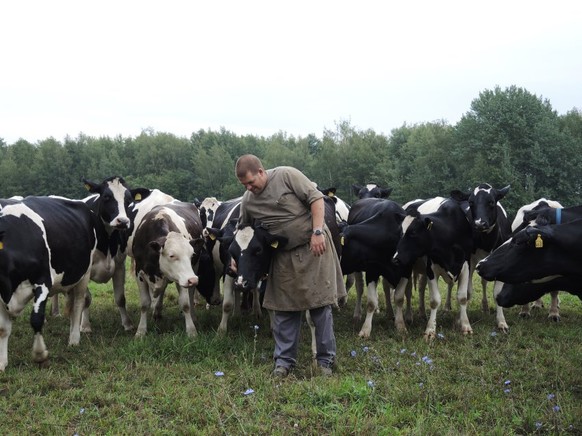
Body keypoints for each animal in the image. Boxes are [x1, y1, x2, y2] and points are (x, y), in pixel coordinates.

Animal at [0, 196, 98, 370]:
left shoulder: (43, 281)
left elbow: (36, 319)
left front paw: (40, 354)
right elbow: (3, 328)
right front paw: (2, 362)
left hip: (84, 273)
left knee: (79, 304)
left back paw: (74, 338)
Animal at [131, 201, 209, 338]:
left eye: (191, 254)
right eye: (171, 255)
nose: (193, 280)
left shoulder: (182, 278)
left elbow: (185, 304)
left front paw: (191, 331)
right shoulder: (139, 274)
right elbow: (144, 304)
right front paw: (140, 331)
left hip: (193, 269)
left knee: (190, 295)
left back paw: (193, 317)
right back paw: (157, 313)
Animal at [338, 198, 406, 338]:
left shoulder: (405, 270)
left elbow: (399, 298)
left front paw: (400, 325)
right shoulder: (372, 270)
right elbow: (371, 302)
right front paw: (365, 330)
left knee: (385, 288)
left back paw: (390, 313)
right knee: (359, 288)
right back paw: (357, 314)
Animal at [394, 196, 476, 338]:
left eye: (413, 232)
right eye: (400, 233)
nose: (396, 258)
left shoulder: (466, 265)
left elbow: (462, 297)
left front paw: (465, 326)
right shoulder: (431, 269)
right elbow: (435, 300)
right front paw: (430, 330)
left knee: (420, 288)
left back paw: (421, 313)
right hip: (408, 266)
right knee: (403, 293)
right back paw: (404, 321)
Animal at [450, 183, 512, 330]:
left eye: (491, 202)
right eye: (471, 202)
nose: (479, 223)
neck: (486, 242)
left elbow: (497, 293)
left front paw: (501, 322)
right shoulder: (469, 260)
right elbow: (467, 292)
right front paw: (461, 320)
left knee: (484, 282)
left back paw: (485, 307)